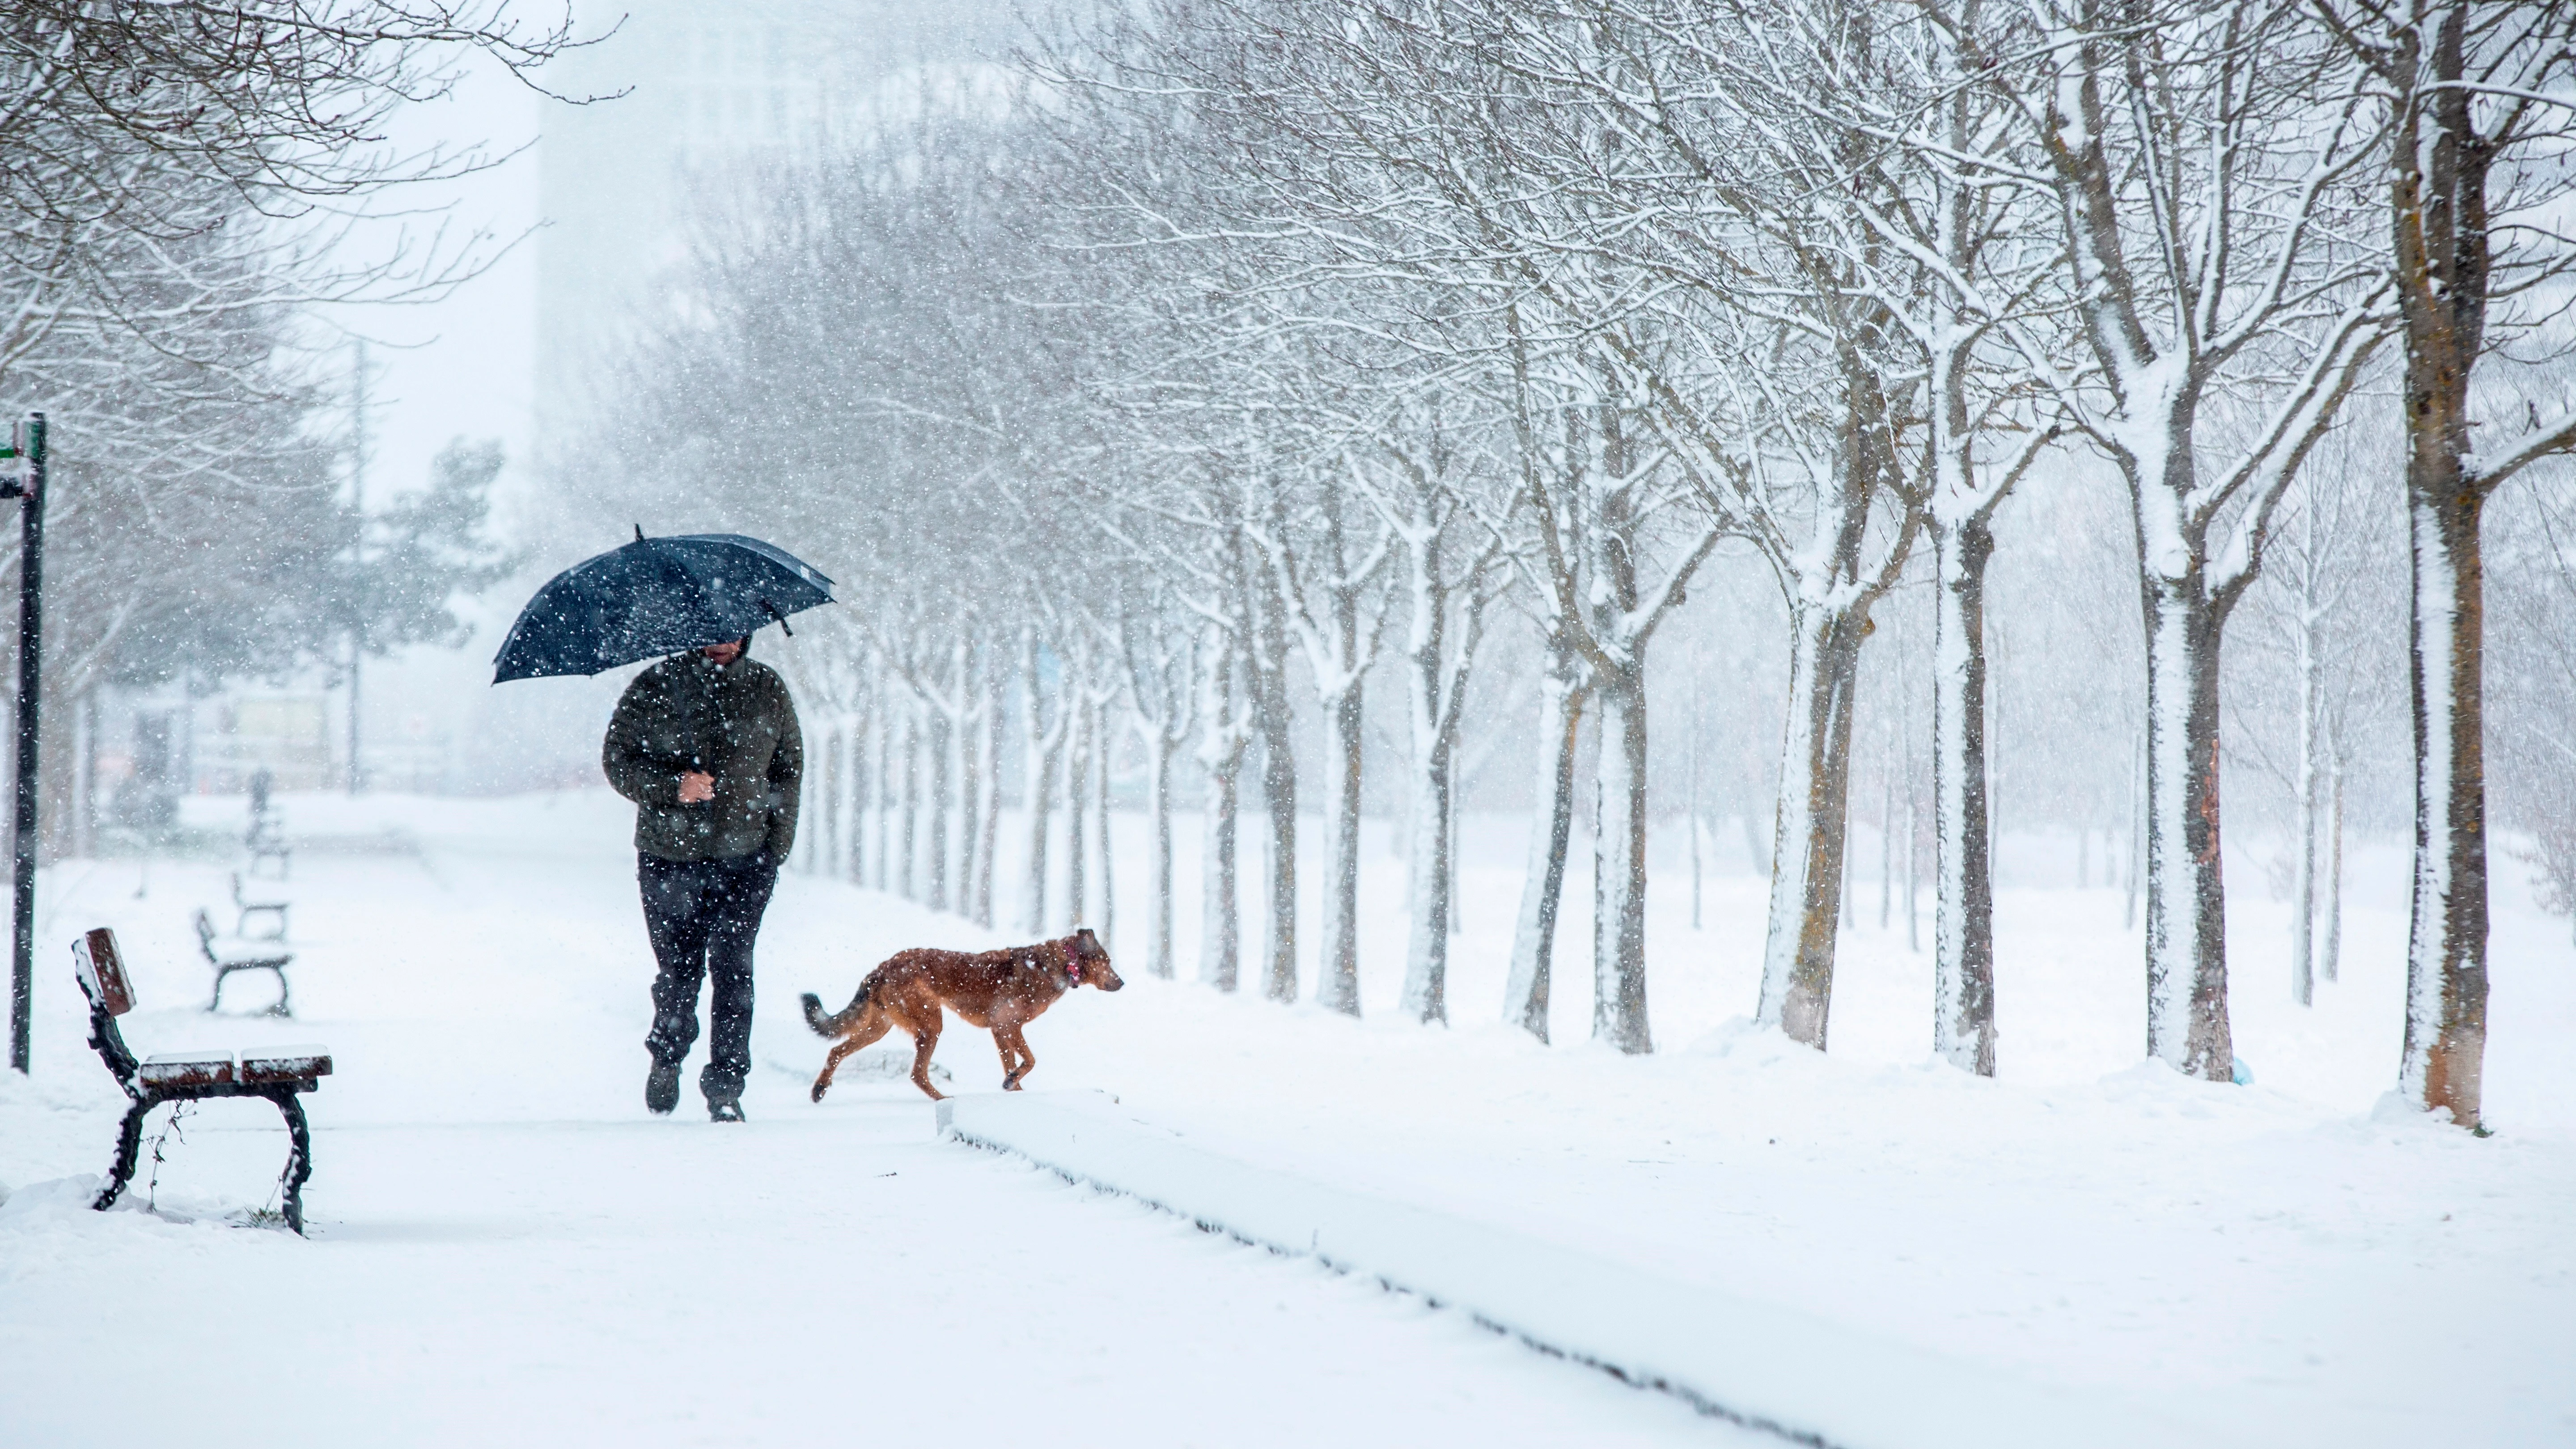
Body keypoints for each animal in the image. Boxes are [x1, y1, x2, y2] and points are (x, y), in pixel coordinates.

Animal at [798, 923, 1123, 1093]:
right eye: (1107, 961)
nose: (1122, 983)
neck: (1059, 965)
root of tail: (882, 968)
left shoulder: (1002, 1031)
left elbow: (1014, 1065)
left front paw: (1012, 1089)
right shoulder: (1007, 1025)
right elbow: (1030, 1061)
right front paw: (1013, 1083)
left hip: (878, 1028)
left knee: (836, 1050)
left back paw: (819, 1090)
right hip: (932, 1025)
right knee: (917, 1074)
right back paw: (944, 1101)